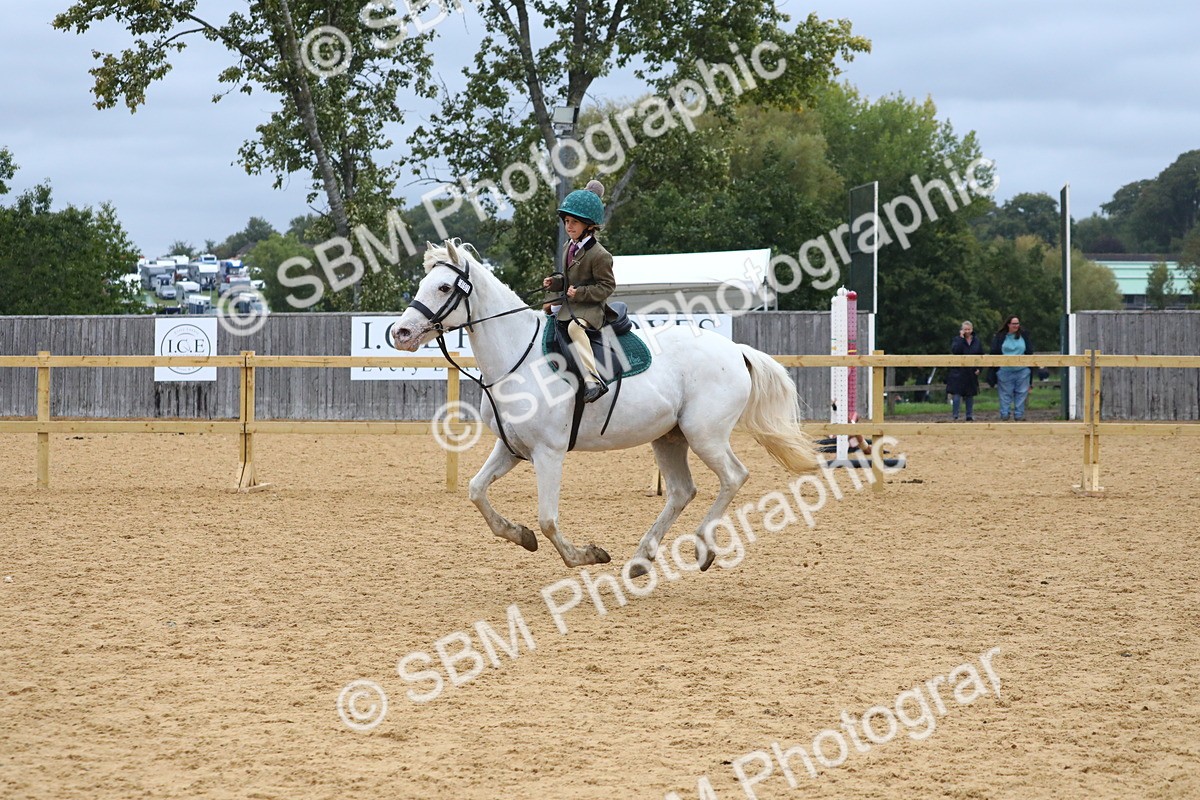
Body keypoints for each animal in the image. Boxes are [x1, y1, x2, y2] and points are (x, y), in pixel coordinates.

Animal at [391, 240, 820, 574]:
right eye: (422, 283)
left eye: (444, 286)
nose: (400, 332)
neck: (518, 356)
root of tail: (735, 349)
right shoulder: (511, 448)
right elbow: (476, 491)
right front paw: (520, 536)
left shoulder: (549, 453)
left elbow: (548, 520)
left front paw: (585, 556)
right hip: (670, 438)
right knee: (682, 491)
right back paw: (641, 559)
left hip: (705, 435)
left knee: (734, 476)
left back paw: (703, 546)